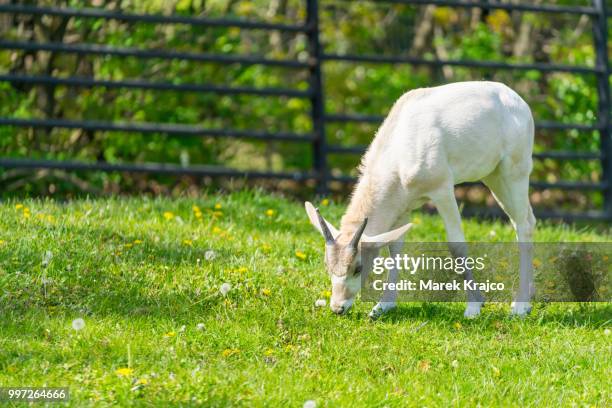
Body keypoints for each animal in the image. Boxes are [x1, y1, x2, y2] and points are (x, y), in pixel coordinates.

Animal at [306, 81, 536, 320]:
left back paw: (520, 305)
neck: (400, 149)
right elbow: (395, 247)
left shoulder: (442, 190)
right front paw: (383, 305)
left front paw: (474, 306)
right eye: (327, 265)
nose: (338, 307)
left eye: (358, 268)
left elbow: (456, 246)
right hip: (494, 177)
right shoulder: (403, 205)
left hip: (514, 172)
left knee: (523, 225)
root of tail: (516, 99)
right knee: (527, 220)